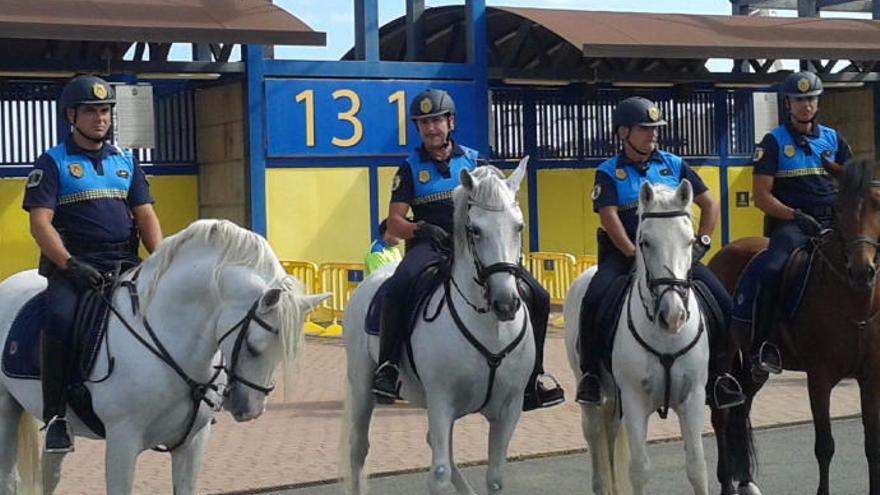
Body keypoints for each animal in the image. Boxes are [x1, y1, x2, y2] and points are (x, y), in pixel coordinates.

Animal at [0, 221, 328, 495]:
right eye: (252, 346)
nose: (251, 410)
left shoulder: (192, 442)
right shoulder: (122, 441)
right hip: (6, 410)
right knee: (10, 479)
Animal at [344, 158, 536, 495]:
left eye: (519, 227)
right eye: (475, 230)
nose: (505, 303)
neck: (490, 328)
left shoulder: (509, 407)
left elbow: (495, 477)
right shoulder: (441, 400)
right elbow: (439, 474)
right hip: (362, 386)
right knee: (359, 449)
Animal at [564, 182, 716, 495]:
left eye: (689, 241)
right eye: (645, 242)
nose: (673, 315)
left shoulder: (693, 398)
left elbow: (697, 467)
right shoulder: (634, 400)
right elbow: (640, 470)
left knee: (609, 430)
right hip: (590, 390)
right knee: (595, 433)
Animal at [712, 160, 880, 495]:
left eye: (878, 205)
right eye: (838, 208)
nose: (862, 271)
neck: (854, 303)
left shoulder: (870, 379)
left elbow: (871, 446)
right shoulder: (819, 378)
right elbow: (825, 446)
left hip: (754, 367)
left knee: (741, 409)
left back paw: (745, 481)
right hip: (724, 356)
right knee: (722, 415)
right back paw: (726, 482)